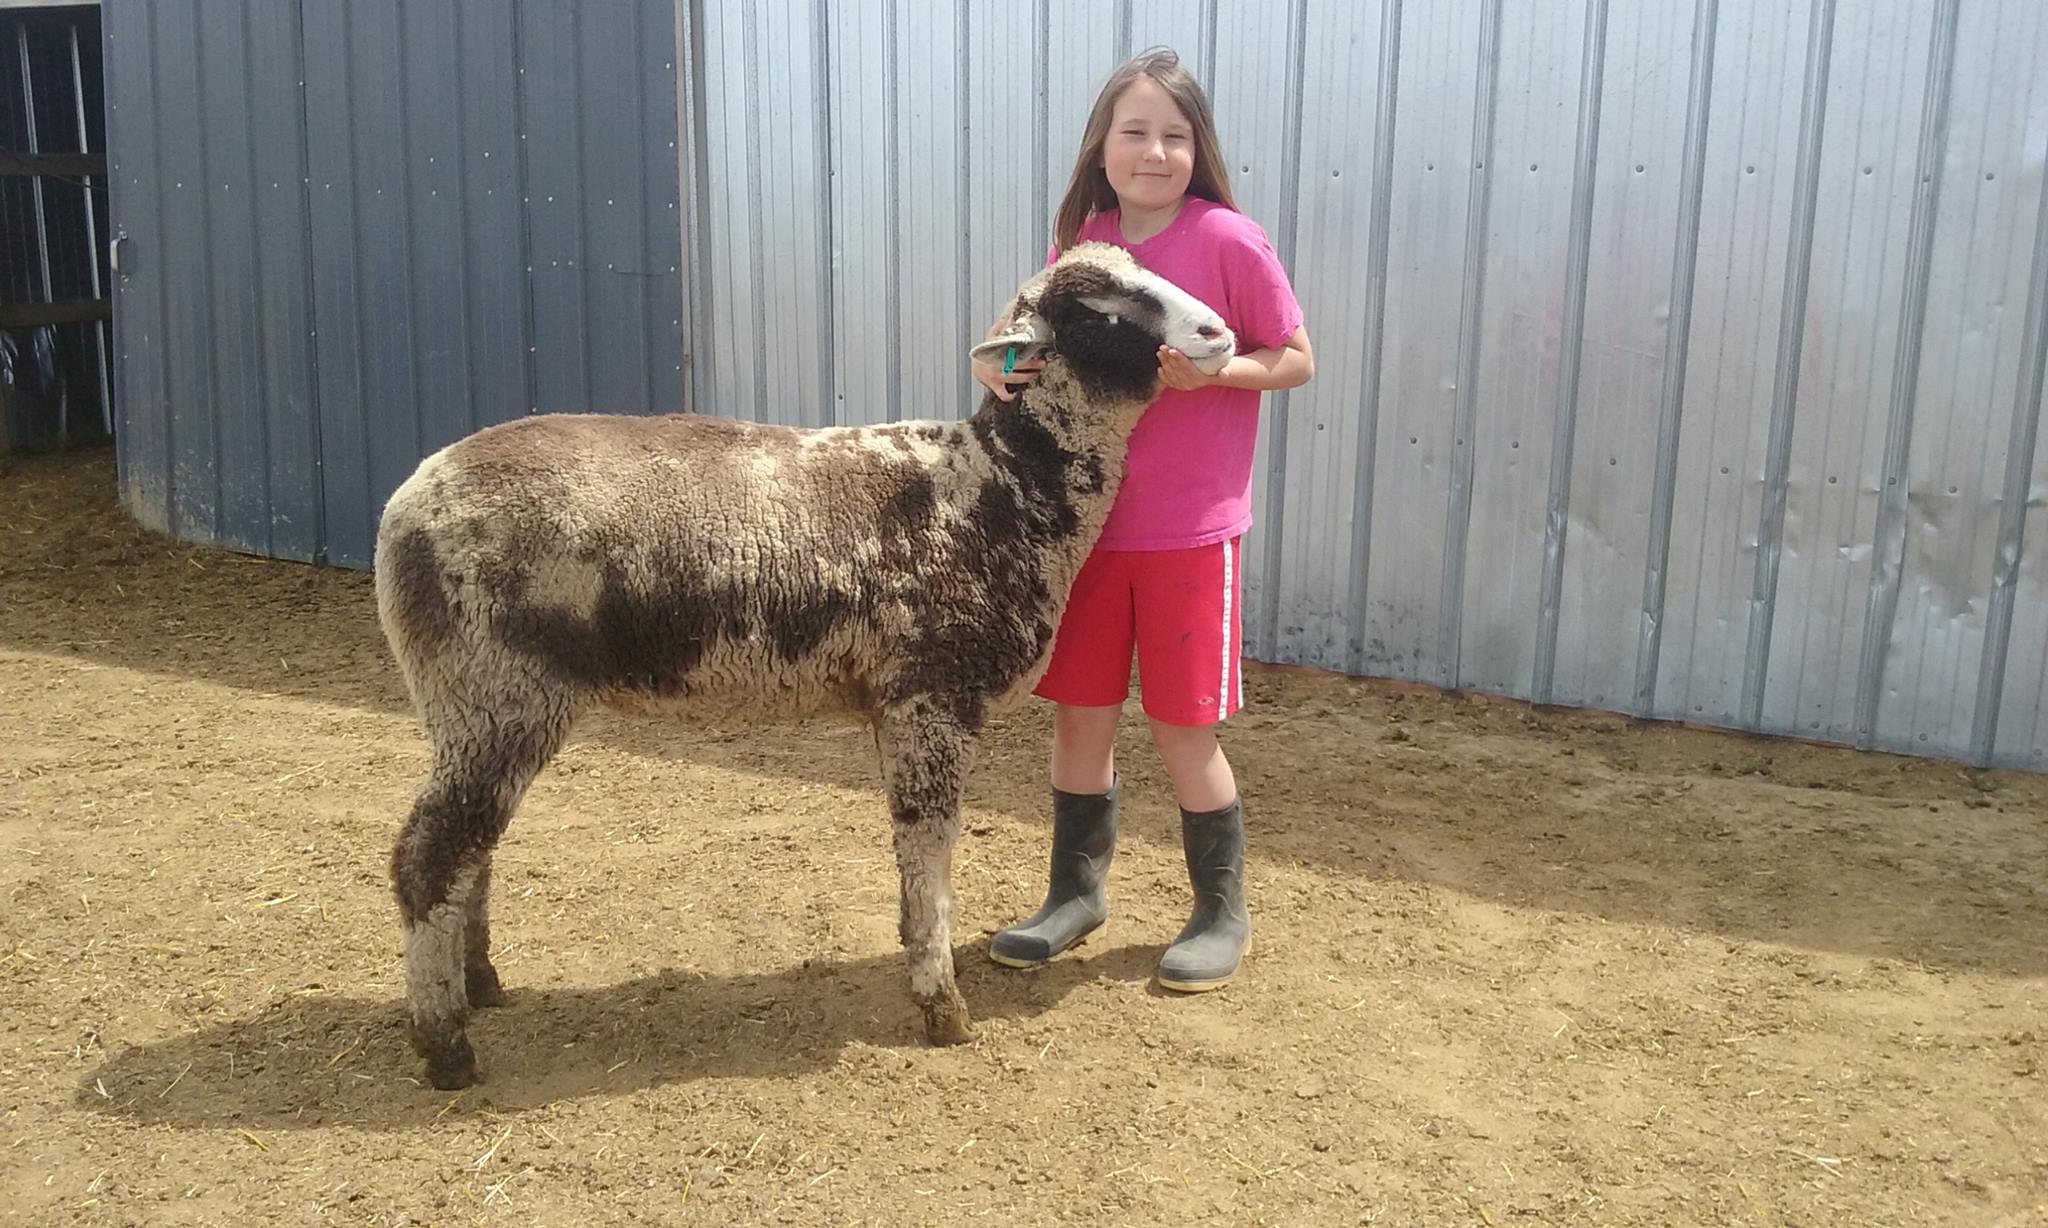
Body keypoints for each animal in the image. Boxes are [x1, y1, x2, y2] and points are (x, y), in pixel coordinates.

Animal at [374, 241, 1236, 1089]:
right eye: (1096, 308)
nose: (1218, 333)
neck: (997, 486)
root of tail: (406, 500)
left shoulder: (895, 705)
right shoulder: (930, 696)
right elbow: (931, 849)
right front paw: (942, 1009)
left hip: (481, 706)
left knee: (472, 847)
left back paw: (481, 984)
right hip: (492, 690)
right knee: (431, 856)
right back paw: (446, 1046)